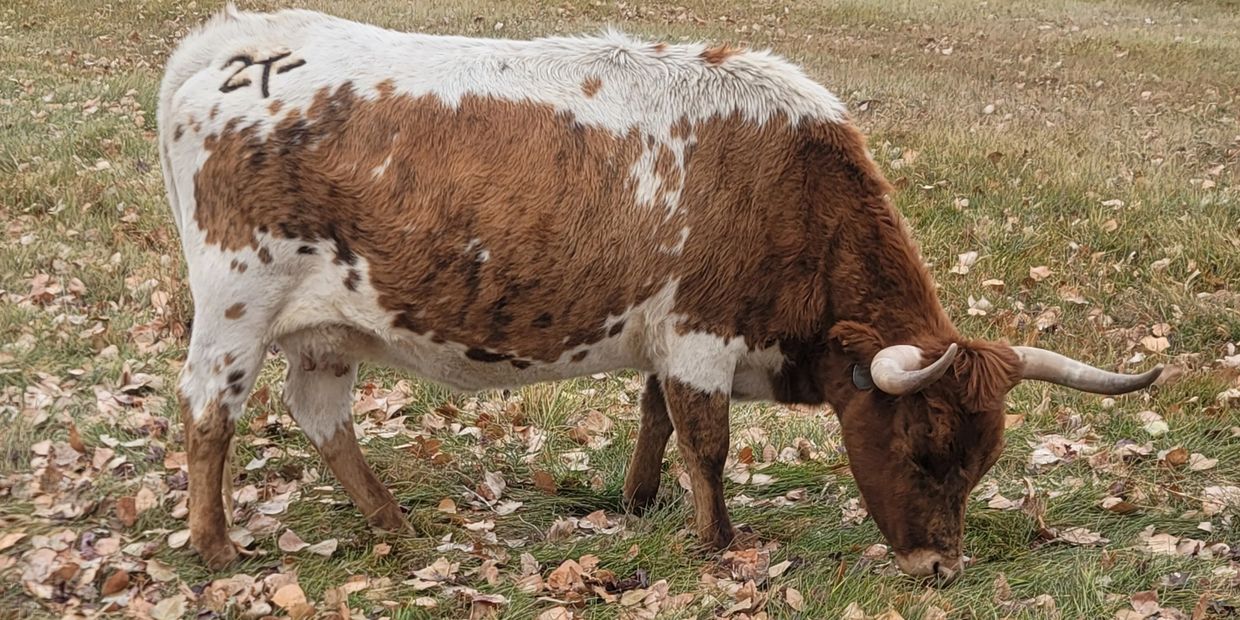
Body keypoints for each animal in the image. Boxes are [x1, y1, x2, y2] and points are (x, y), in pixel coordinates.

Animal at [158, 6, 1163, 581]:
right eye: (922, 452)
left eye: (982, 461)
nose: (938, 566)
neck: (787, 184)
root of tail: (235, 37)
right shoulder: (699, 334)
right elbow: (706, 440)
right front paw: (718, 542)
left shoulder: (670, 339)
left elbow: (656, 419)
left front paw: (637, 503)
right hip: (238, 305)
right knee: (209, 413)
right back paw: (216, 545)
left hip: (324, 328)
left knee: (319, 413)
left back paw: (393, 522)